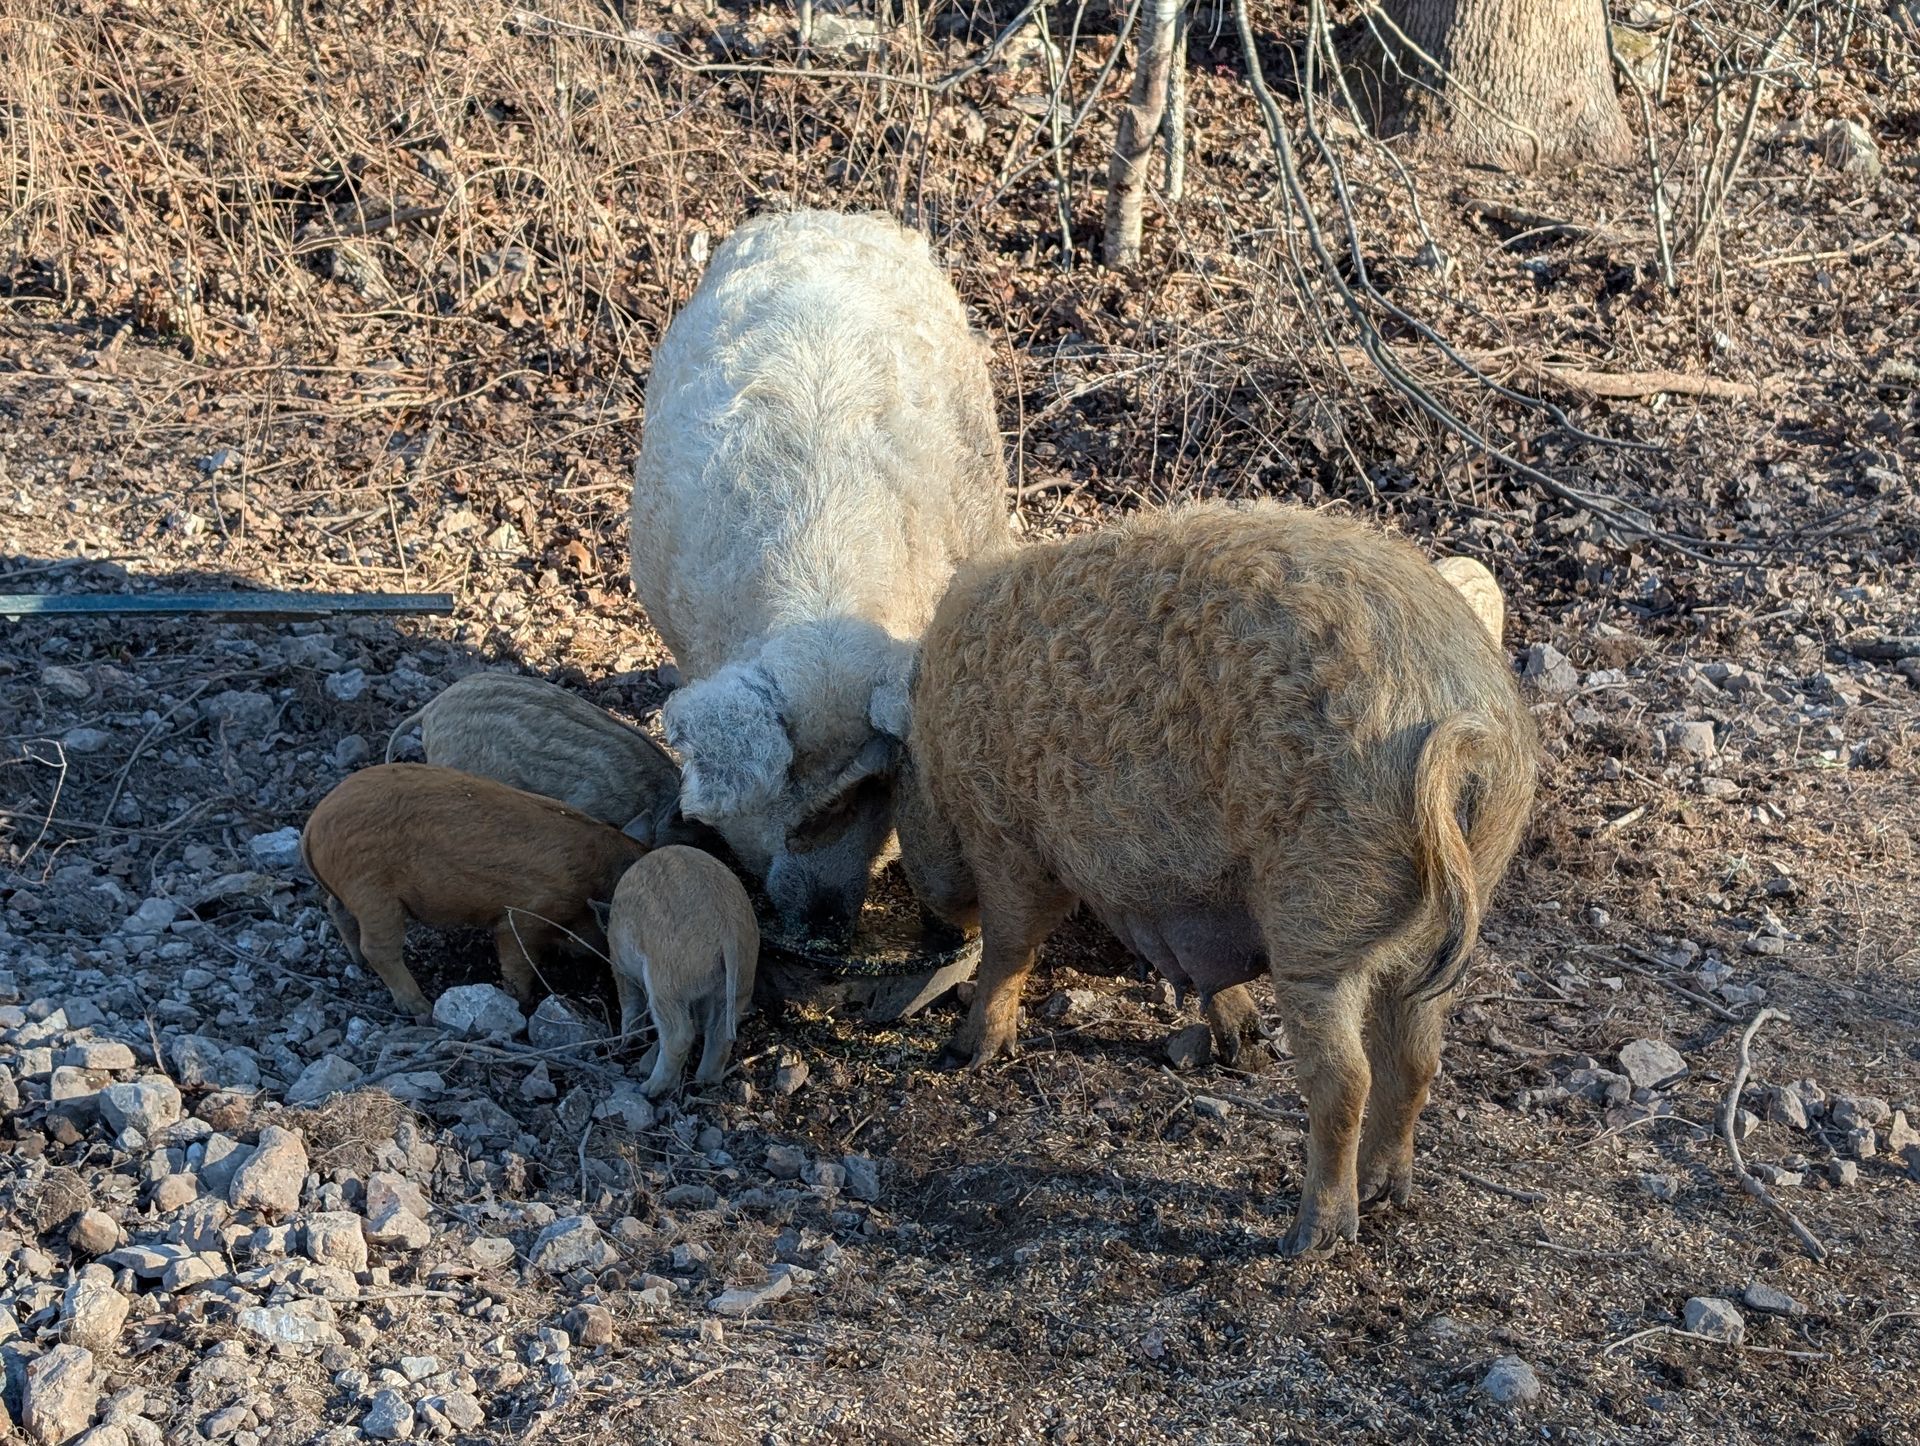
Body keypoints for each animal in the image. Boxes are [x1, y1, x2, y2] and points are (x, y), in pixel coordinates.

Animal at [301, 763, 648, 1017]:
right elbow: (517, 961)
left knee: (336, 908)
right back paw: (422, 1010)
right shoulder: (526, 915)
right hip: (372, 891)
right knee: (379, 948)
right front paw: (521, 1004)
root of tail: (312, 824)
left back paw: (358, 964)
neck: (593, 879)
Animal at [603, 846, 759, 1098]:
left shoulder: (620, 966)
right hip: (742, 980)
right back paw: (705, 1080)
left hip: (666, 979)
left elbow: (630, 1002)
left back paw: (648, 1089)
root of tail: (728, 930)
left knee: (679, 1034)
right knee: (719, 1032)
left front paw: (626, 1043)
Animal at [894, 501, 1537, 1256]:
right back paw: (1385, 1196)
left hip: (1320, 907)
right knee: (1416, 1061)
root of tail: (1462, 724)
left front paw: (966, 1054)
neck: (939, 747)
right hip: (1443, 920)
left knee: (1346, 1079)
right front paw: (1237, 1040)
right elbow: (1206, 976)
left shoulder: (1008, 837)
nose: (927, 926)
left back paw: (1310, 1237)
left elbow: (1009, 945)